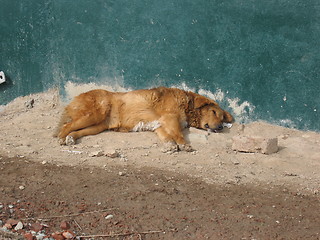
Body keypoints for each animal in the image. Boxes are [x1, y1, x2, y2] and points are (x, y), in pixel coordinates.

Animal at [55, 86, 234, 151]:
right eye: (214, 112)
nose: (220, 127)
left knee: (76, 130)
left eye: (222, 118)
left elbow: (167, 136)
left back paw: (71, 138)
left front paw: (170, 145)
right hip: (96, 114)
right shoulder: (170, 118)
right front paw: (183, 145)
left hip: (98, 126)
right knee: (66, 126)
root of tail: (75, 98)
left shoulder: (160, 125)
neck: (187, 103)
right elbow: (178, 134)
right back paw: (62, 138)